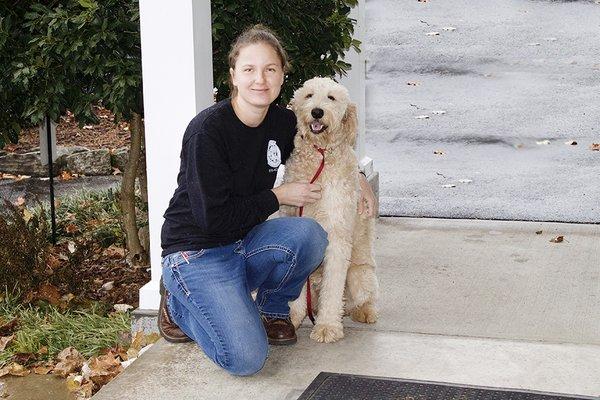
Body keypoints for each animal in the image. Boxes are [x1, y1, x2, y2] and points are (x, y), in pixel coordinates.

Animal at [282, 78, 378, 344]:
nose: (317, 112)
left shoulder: (336, 235)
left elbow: (333, 287)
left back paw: (363, 312)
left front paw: (327, 327)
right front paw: (291, 317)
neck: (320, 153)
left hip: (359, 276)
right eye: (309, 95)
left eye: (331, 98)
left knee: (360, 299)